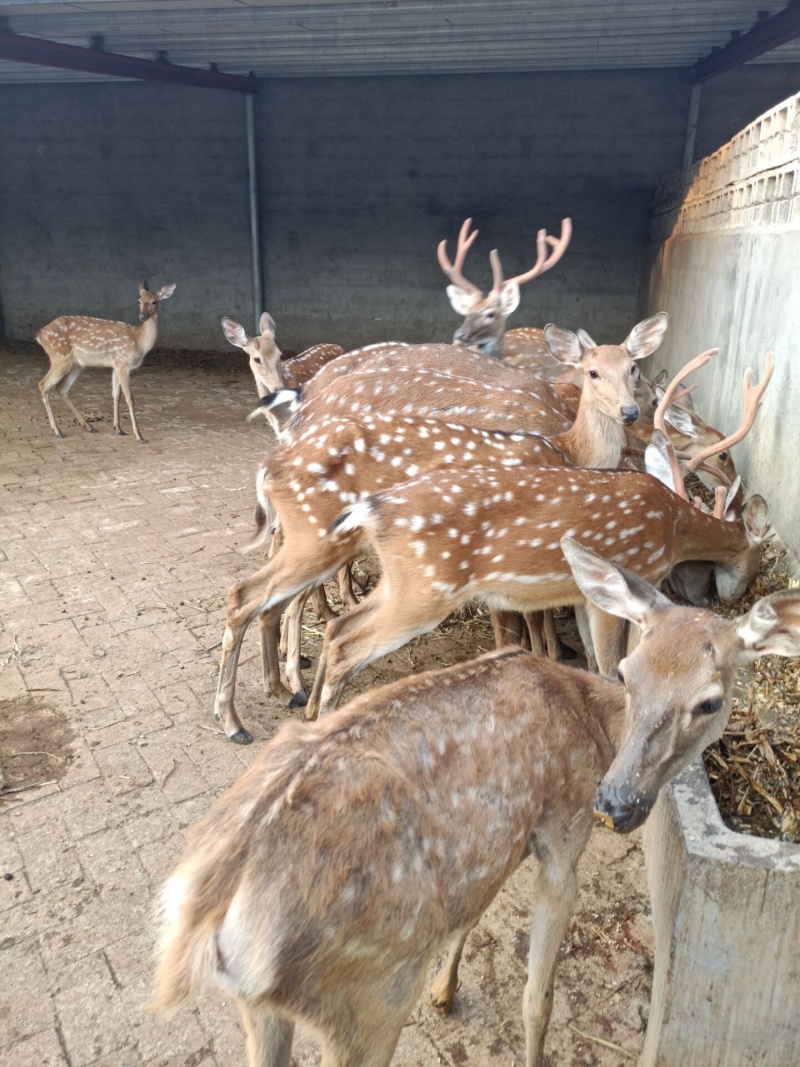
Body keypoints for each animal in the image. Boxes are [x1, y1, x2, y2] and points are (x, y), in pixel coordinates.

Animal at [36, 279, 174, 441]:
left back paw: (89, 426)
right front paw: (139, 436)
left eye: (154, 301)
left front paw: (119, 429)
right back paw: (57, 431)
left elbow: (116, 395)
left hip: (77, 364)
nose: (142, 316)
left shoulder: (116, 365)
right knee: (43, 385)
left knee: (62, 388)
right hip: (60, 357)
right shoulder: (122, 363)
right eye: (139, 300)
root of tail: (40, 335)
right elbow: (130, 398)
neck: (139, 342)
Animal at [151, 537, 800, 1067]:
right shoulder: (563, 831)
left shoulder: (502, 837)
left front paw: (446, 992)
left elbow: (471, 913)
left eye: (709, 700)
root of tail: (206, 921)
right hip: (369, 995)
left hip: (261, 1010)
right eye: (628, 670)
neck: (592, 722)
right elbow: (538, 996)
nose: (616, 803)